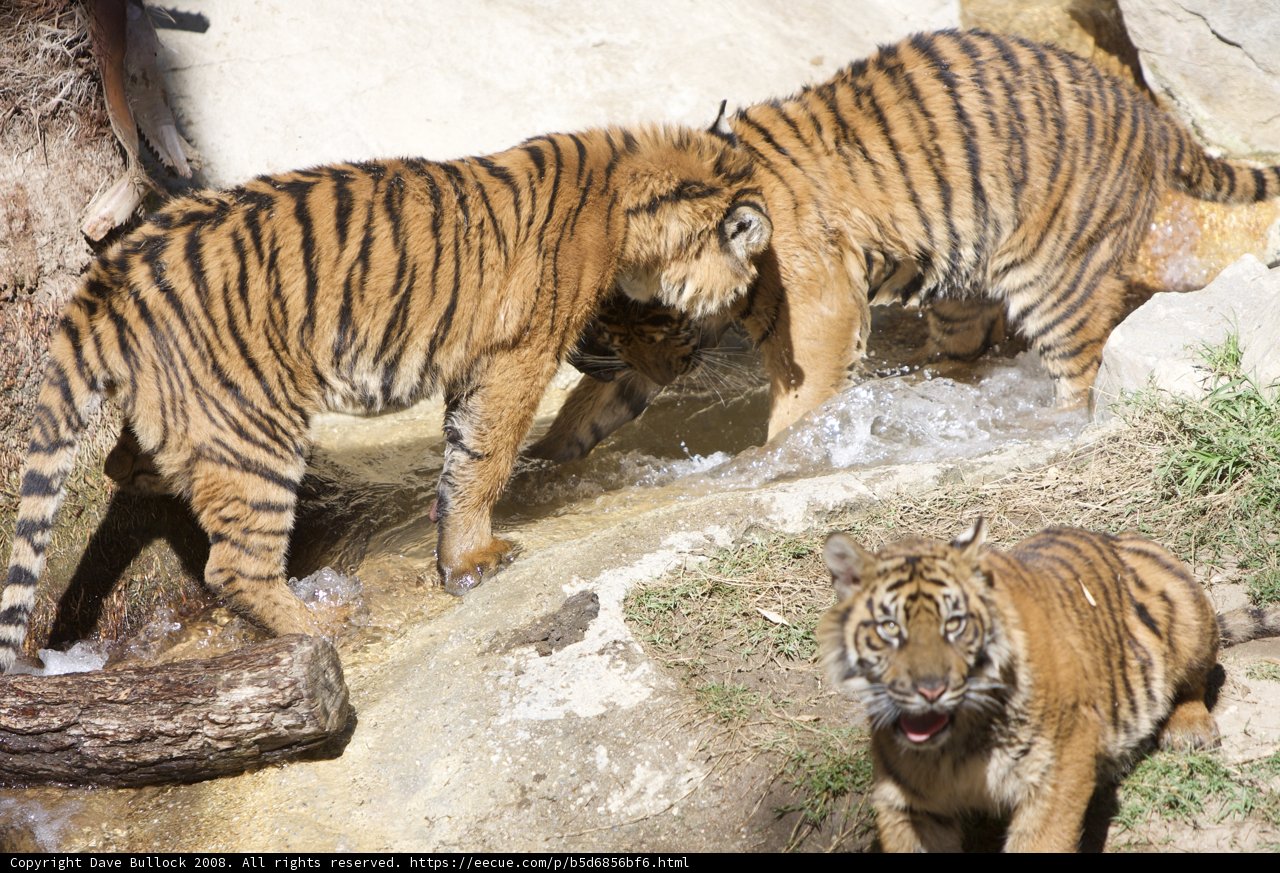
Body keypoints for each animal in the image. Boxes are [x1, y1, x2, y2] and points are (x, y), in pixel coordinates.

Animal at [0, 124, 772, 672]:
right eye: (676, 324)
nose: (687, 360)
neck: (630, 200)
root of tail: (113, 270)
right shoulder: (517, 358)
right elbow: (487, 458)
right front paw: (474, 560)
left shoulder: (481, 368)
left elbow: (463, 459)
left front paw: (458, 553)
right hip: (257, 429)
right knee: (234, 563)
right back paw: (324, 625)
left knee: (123, 462)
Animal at [538, 28, 1280, 453]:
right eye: (608, 327)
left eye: (656, 319)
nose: (581, 353)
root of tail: (1149, 113)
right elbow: (590, 408)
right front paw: (543, 463)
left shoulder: (821, 311)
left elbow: (798, 412)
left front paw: (773, 462)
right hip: (963, 286)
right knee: (966, 351)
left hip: (1055, 281)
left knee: (1078, 371)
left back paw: (1048, 425)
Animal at [816, 519, 1280, 852]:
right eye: (889, 628)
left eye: (955, 624)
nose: (930, 688)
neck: (955, 743)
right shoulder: (907, 803)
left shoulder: (1060, 766)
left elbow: (1042, 841)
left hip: (1186, 610)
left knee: (1198, 679)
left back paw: (1188, 730)